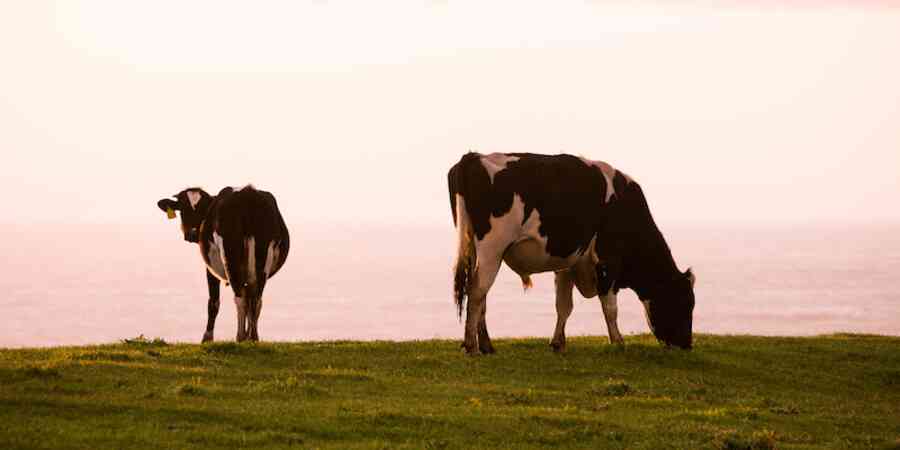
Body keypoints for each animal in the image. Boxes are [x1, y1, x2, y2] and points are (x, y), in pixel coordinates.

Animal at [157, 185, 290, 342]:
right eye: (183, 208)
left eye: (202, 208)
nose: (193, 234)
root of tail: (248, 192)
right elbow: (249, 300)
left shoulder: (210, 269)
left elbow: (213, 302)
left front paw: (207, 338)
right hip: (262, 259)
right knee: (256, 300)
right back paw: (253, 337)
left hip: (230, 257)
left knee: (239, 298)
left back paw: (240, 337)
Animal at [448, 152, 695, 354]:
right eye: (685, 302)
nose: (687, 345)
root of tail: (475, 156)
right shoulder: (607, 261)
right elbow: (610, 307)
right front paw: (618, 342)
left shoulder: (568, 264)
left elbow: (564, 306)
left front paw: (558, 343)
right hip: (492, 247)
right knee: (477, 290)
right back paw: (471, 346)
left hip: (479, 250)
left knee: (481, 295)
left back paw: (486, 346)